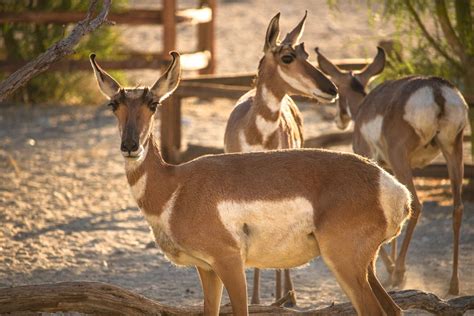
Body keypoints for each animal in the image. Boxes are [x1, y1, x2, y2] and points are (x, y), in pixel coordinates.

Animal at [91, 50, 412, 314]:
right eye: (113, 104)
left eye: (154, 104)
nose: (130, 146)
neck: (175, 186)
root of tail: (392, 188)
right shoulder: (206, 269)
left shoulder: (229, 262)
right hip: (365, 268)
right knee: (394, 309)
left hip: (344, 263)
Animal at [223, 11, 336, 304]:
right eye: (287, 57)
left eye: (306, 53)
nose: (332, 89)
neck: (257, 137)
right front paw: (254, 300)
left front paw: (280, 297)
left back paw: (288, 295)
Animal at [316, 46, 468, 294]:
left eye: (337, 87)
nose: (339, 119)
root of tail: (436, 90)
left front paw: (391, 269)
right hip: (453, 150)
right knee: (457, 208)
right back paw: (453, 284)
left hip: (401, 158)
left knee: (417, 204)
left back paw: (399, 273)